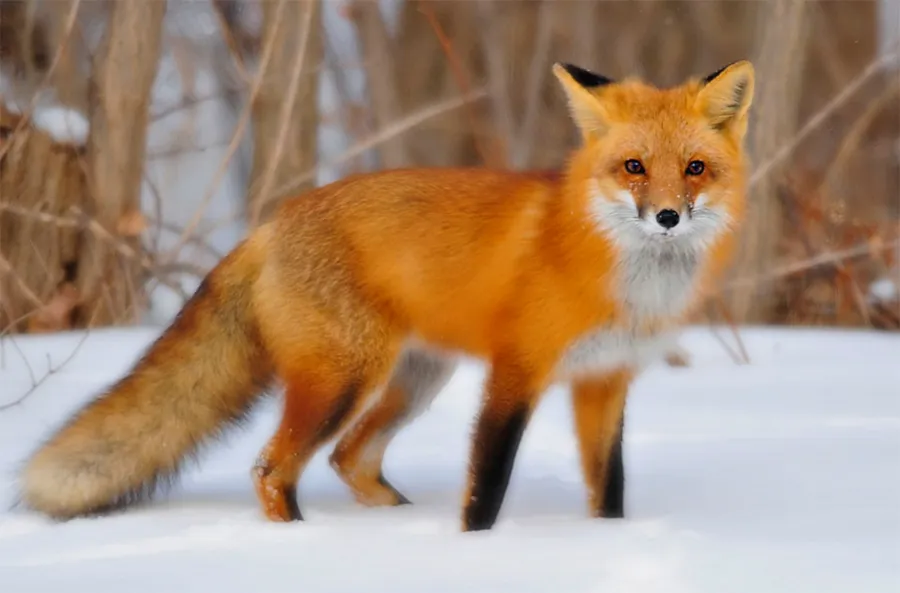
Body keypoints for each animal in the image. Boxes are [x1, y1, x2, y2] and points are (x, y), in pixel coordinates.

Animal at [18, 59, 754, 532]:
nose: (668, 217)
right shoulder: (516, 372)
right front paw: (478, 547)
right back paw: (301, 539)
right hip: (345, 378)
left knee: (348, 458)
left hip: (417, 378)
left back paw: (393, 526)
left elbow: (609, 491)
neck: (620, 273)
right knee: (272, 469)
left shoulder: (604, 380)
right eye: (633, 167)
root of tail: (270, 222)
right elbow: (486, 487)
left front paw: (608, 543)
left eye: (695, 168)